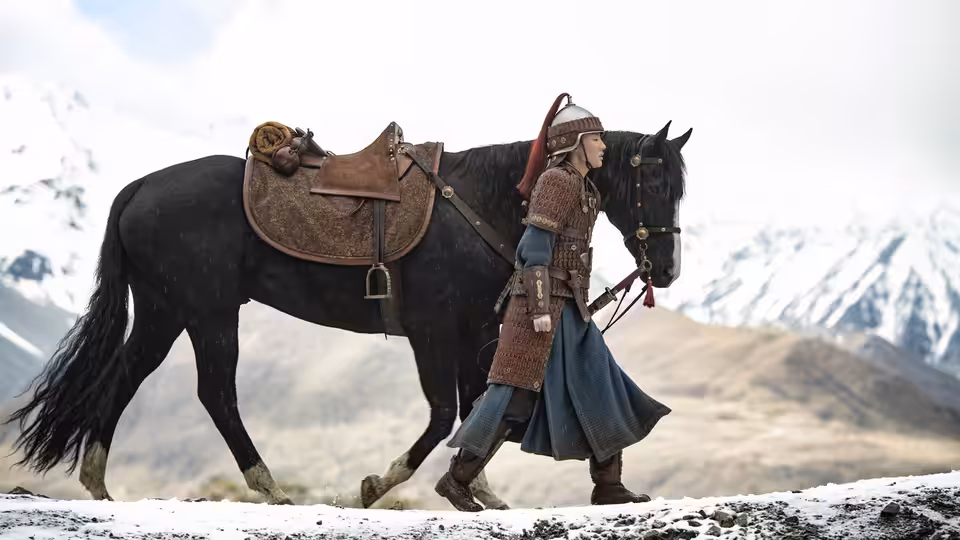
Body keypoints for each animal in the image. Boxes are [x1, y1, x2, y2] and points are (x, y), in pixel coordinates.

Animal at [4, 120, 691, 509]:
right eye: (657, 183)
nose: (666, 268)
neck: (482, 199)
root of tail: (139, 186)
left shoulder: (475, 329)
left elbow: (481, 409)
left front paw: (478, 489)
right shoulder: (433, 331)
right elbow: (443, 415)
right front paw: (376, 486)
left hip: (165, 309)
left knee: (125, 376)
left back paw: (97, 482)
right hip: (206, 311)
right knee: (216, 393)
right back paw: (269, 487)